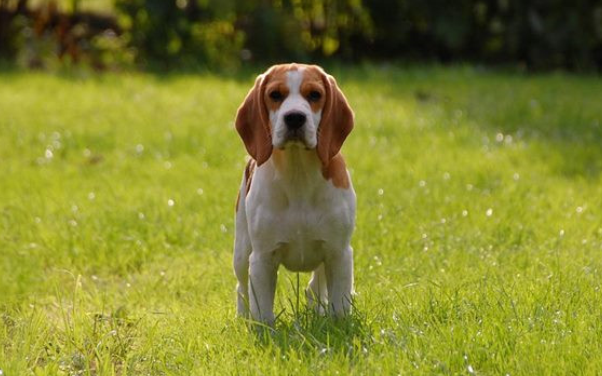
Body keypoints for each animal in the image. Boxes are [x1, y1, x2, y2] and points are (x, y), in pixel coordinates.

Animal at [232, 63, 354, 324]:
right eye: (275, 95)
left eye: (315, 95)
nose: (295, 117)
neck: (298, 173)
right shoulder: (262, 258)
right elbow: (262, 312)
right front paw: (262, 329)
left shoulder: (339, 253)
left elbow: (339, 305)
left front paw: (338, 325)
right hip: (242, 252)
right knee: (241, 288)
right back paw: (242, 318)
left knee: (314, 287)